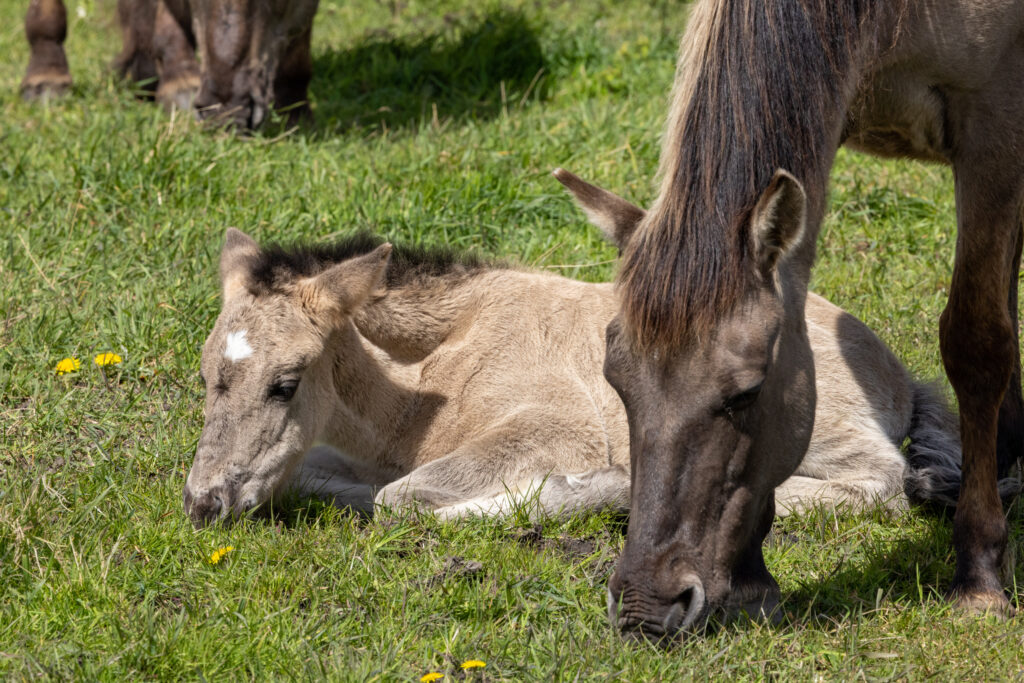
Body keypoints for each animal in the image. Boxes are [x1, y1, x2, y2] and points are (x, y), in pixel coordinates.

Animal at [184, 187, 974, 524]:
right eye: (206, 376)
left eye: (286, 383)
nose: (201, 503)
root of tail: (892, 367)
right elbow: (320, 479)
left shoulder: (553, 424)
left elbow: (403, 500)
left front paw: (565, 493)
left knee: (879, 481)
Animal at [602, 0, 1024, 634]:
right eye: (616, 382)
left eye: (745, 394)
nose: (646, 608)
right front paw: (753, 583)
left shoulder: (994, 128)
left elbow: (977, 341)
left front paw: (978, 575)